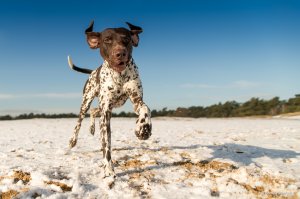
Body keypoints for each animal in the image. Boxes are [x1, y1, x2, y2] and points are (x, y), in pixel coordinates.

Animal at [68, 21, 152, 178]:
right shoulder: (106, 112)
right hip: (87, 101)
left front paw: (143, 129)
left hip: (112, 105)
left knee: (94, 111)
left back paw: (92, 128)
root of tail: (93, 71)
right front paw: (108, 169)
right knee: (79, 121)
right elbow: (106, 143)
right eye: (107, 40)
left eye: (126, 39)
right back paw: (72, 140)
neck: (119, 76)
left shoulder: (136, 100)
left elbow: (145, 109)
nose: (120, 53)